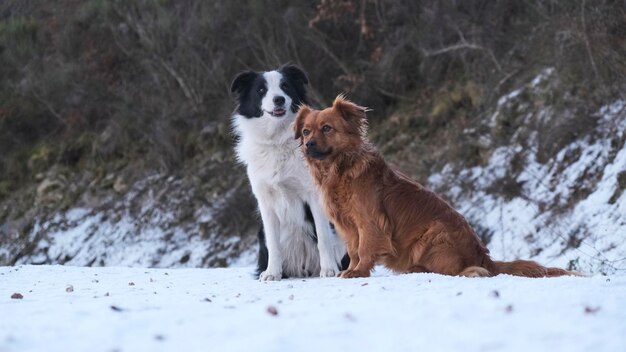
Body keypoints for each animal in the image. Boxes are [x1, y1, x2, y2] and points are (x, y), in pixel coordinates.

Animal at [229, 64, 346, 282]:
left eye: (285, 86)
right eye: (261, 90)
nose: (279, 99)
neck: (277, 140)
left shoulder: (314, 195)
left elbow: (323, 237)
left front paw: (329, 269)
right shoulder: (265, 200)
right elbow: (274, 244)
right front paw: (272, 273)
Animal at [294, 95, 576, 278]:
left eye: (327, 128)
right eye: (306, 131)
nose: (308, 144)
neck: (339, 168)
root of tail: (484, 258)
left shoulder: (369, 222)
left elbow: (365, 249)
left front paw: (358, 272)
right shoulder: (349, 226)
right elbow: (354, 251)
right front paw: (352, 270)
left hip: (434, 233)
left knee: (457, 271)